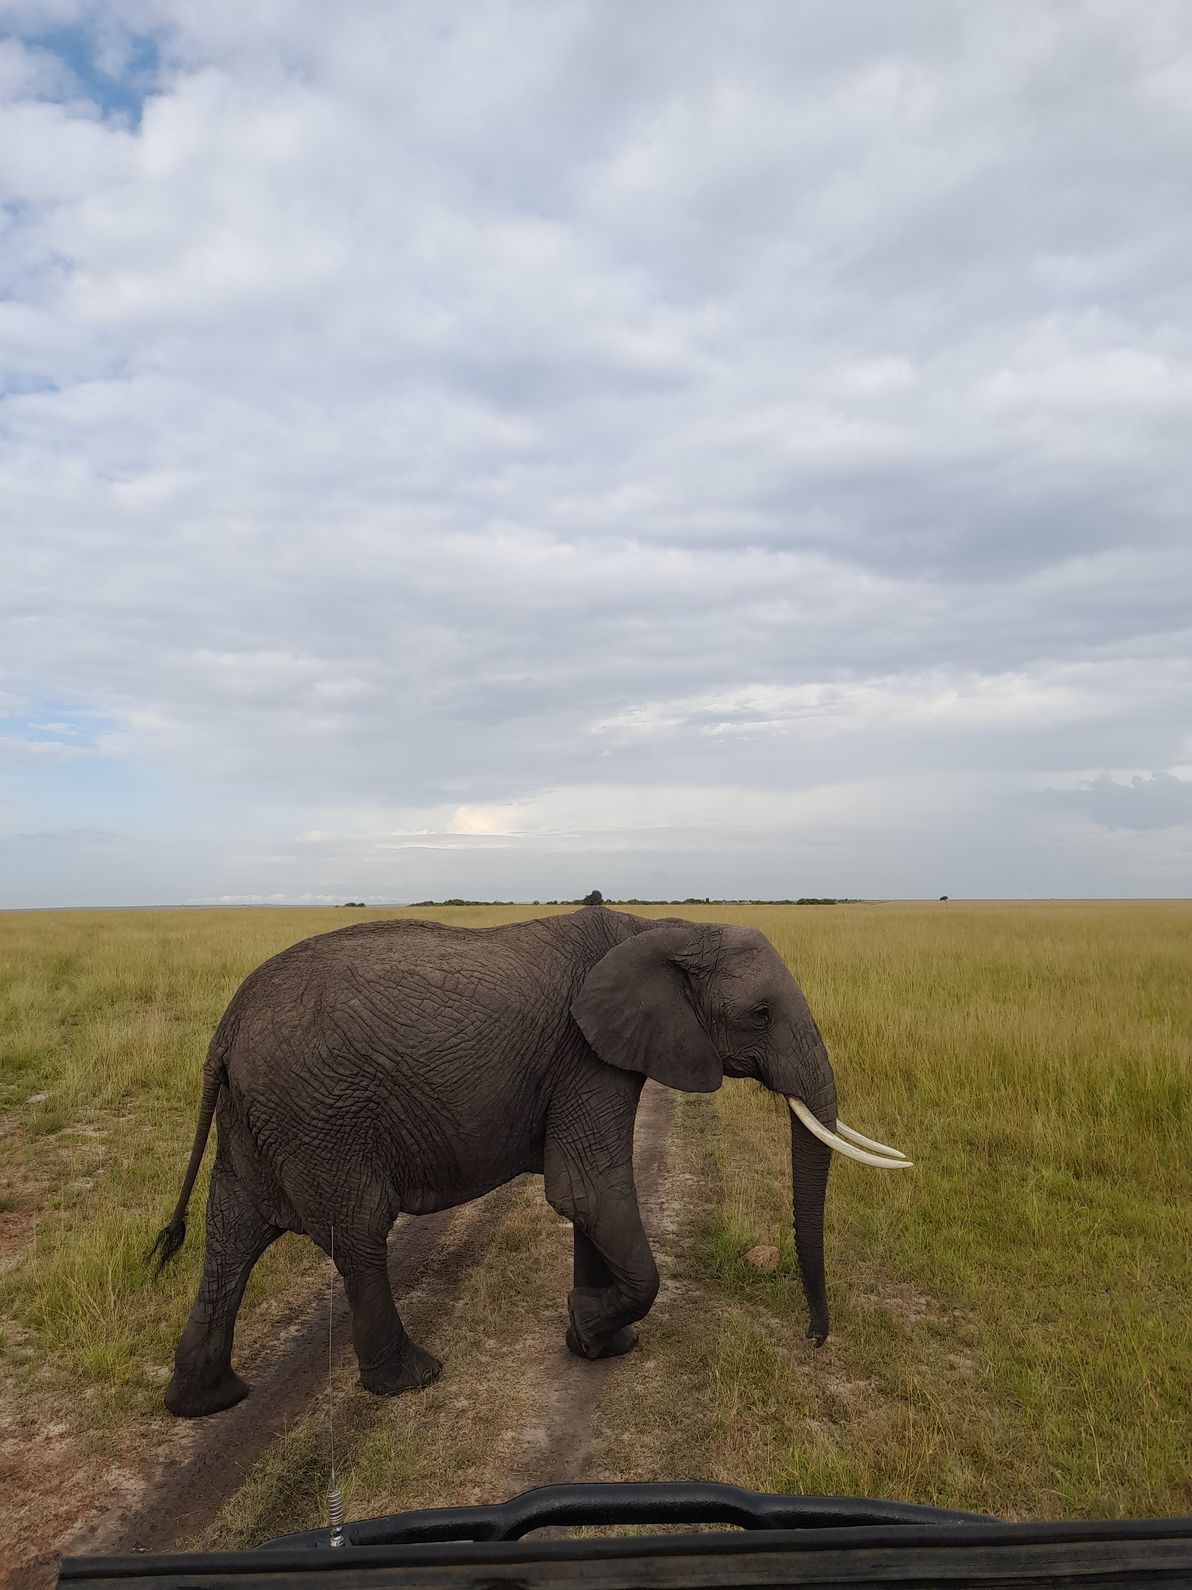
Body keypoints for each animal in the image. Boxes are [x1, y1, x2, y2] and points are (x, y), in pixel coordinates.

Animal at [152, 906, 910, 1418]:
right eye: (758, 1014)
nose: (813, 1338)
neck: (662, 928)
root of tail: (227, 1027)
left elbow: (588, 1202)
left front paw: (603, 1344)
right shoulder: (587, 1056)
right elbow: (588, 1192)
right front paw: (590, 1326)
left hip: (262, 1118)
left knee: (231, 1237)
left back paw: (207, 1400)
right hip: (322, 1115)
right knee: (357, 1235)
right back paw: (412, 1379)